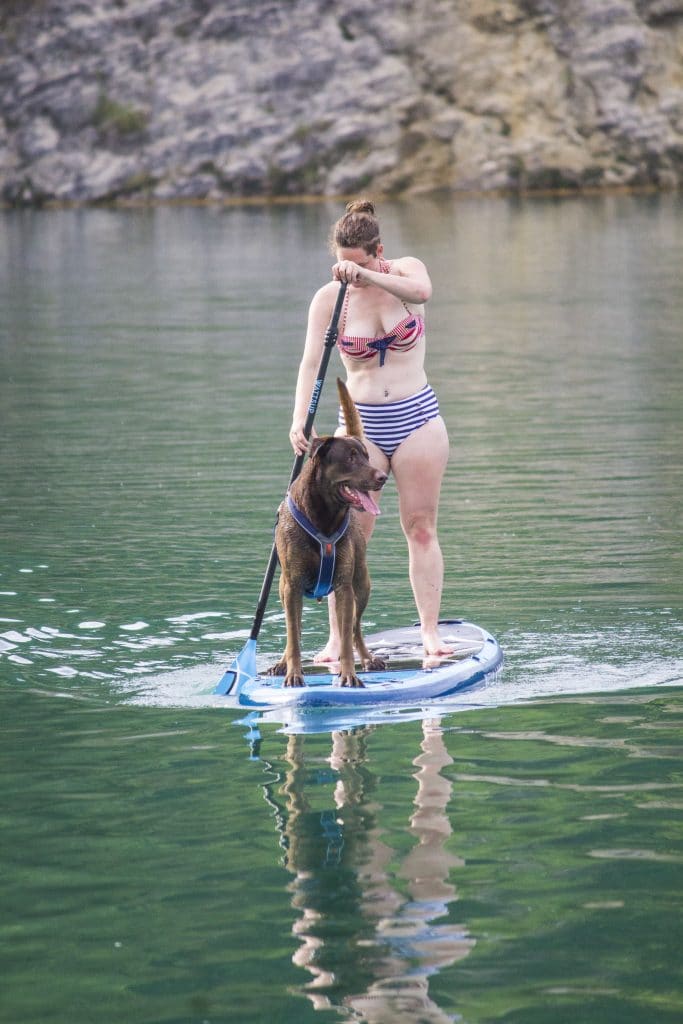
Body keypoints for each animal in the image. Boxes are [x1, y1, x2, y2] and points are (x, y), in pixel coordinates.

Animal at [270, 382, 393, 688]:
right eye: (350, 458)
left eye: (367, 456)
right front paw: (293, 673)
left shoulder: (344, 585)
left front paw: (349, 674)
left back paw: (368, 659)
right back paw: (282, 662)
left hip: (362, 583)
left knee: (356, 628)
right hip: (283, 588)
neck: (323, 516)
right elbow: (293, 637)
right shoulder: (291, 586)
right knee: (293, 632)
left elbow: (347, 638)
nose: (382, 477)